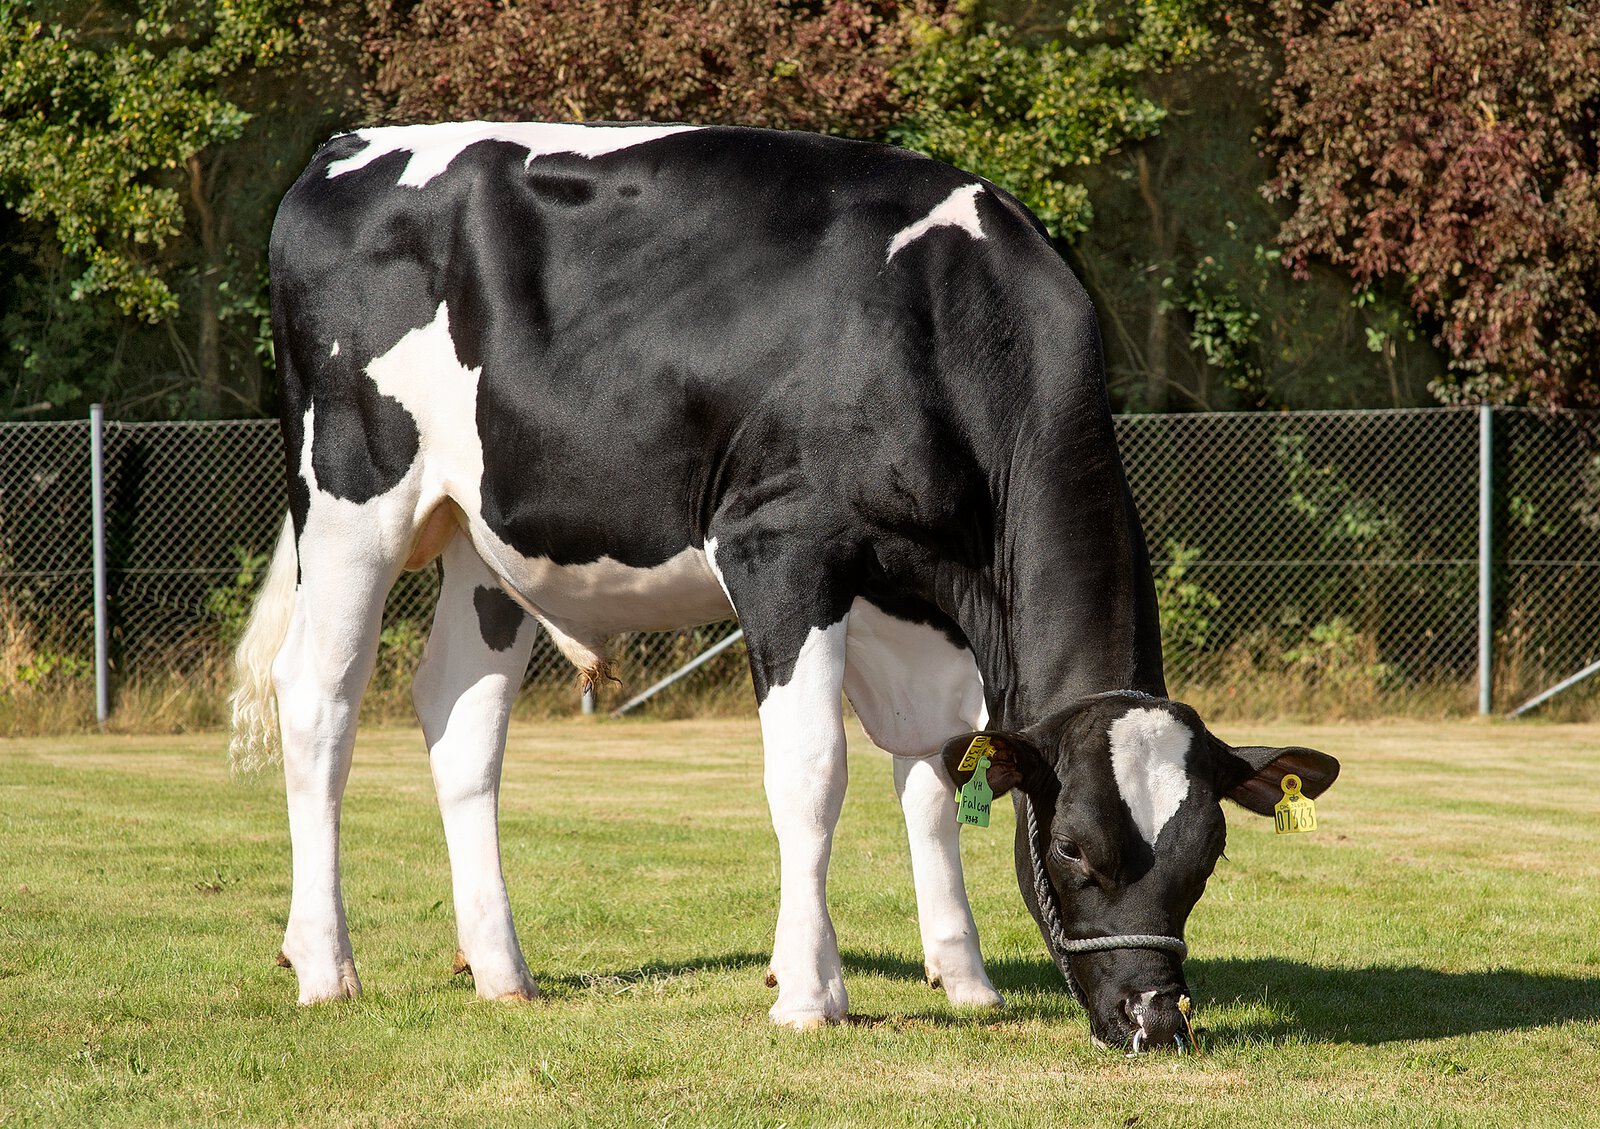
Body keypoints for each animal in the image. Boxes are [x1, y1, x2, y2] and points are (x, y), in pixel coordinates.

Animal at [230, 121, 1339, 1051]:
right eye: (1072, 849)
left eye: (1207, 857)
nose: (1155, 1017)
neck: (945, 319)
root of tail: (342, 148)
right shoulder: (782, 548)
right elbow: (813, 773)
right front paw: (810, 990)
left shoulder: (917, 599)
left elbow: (937, 771)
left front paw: (965, 978)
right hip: (353, 497)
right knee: (319, 699)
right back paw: (325, 964)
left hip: (483, 537)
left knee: (461, 720)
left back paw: (504, 971)